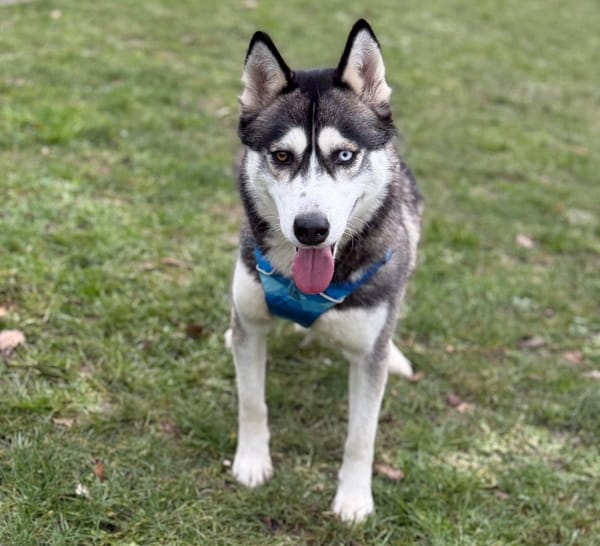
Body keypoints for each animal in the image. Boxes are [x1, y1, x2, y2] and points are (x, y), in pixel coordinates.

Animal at [229, 19, 423, 522]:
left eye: (344, 156)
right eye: (281, 156)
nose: (311, 229)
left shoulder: (367, 358)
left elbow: (361, 436)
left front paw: (354, 499)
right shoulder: (251, 325)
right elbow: (252, 401)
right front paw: (251, 462)